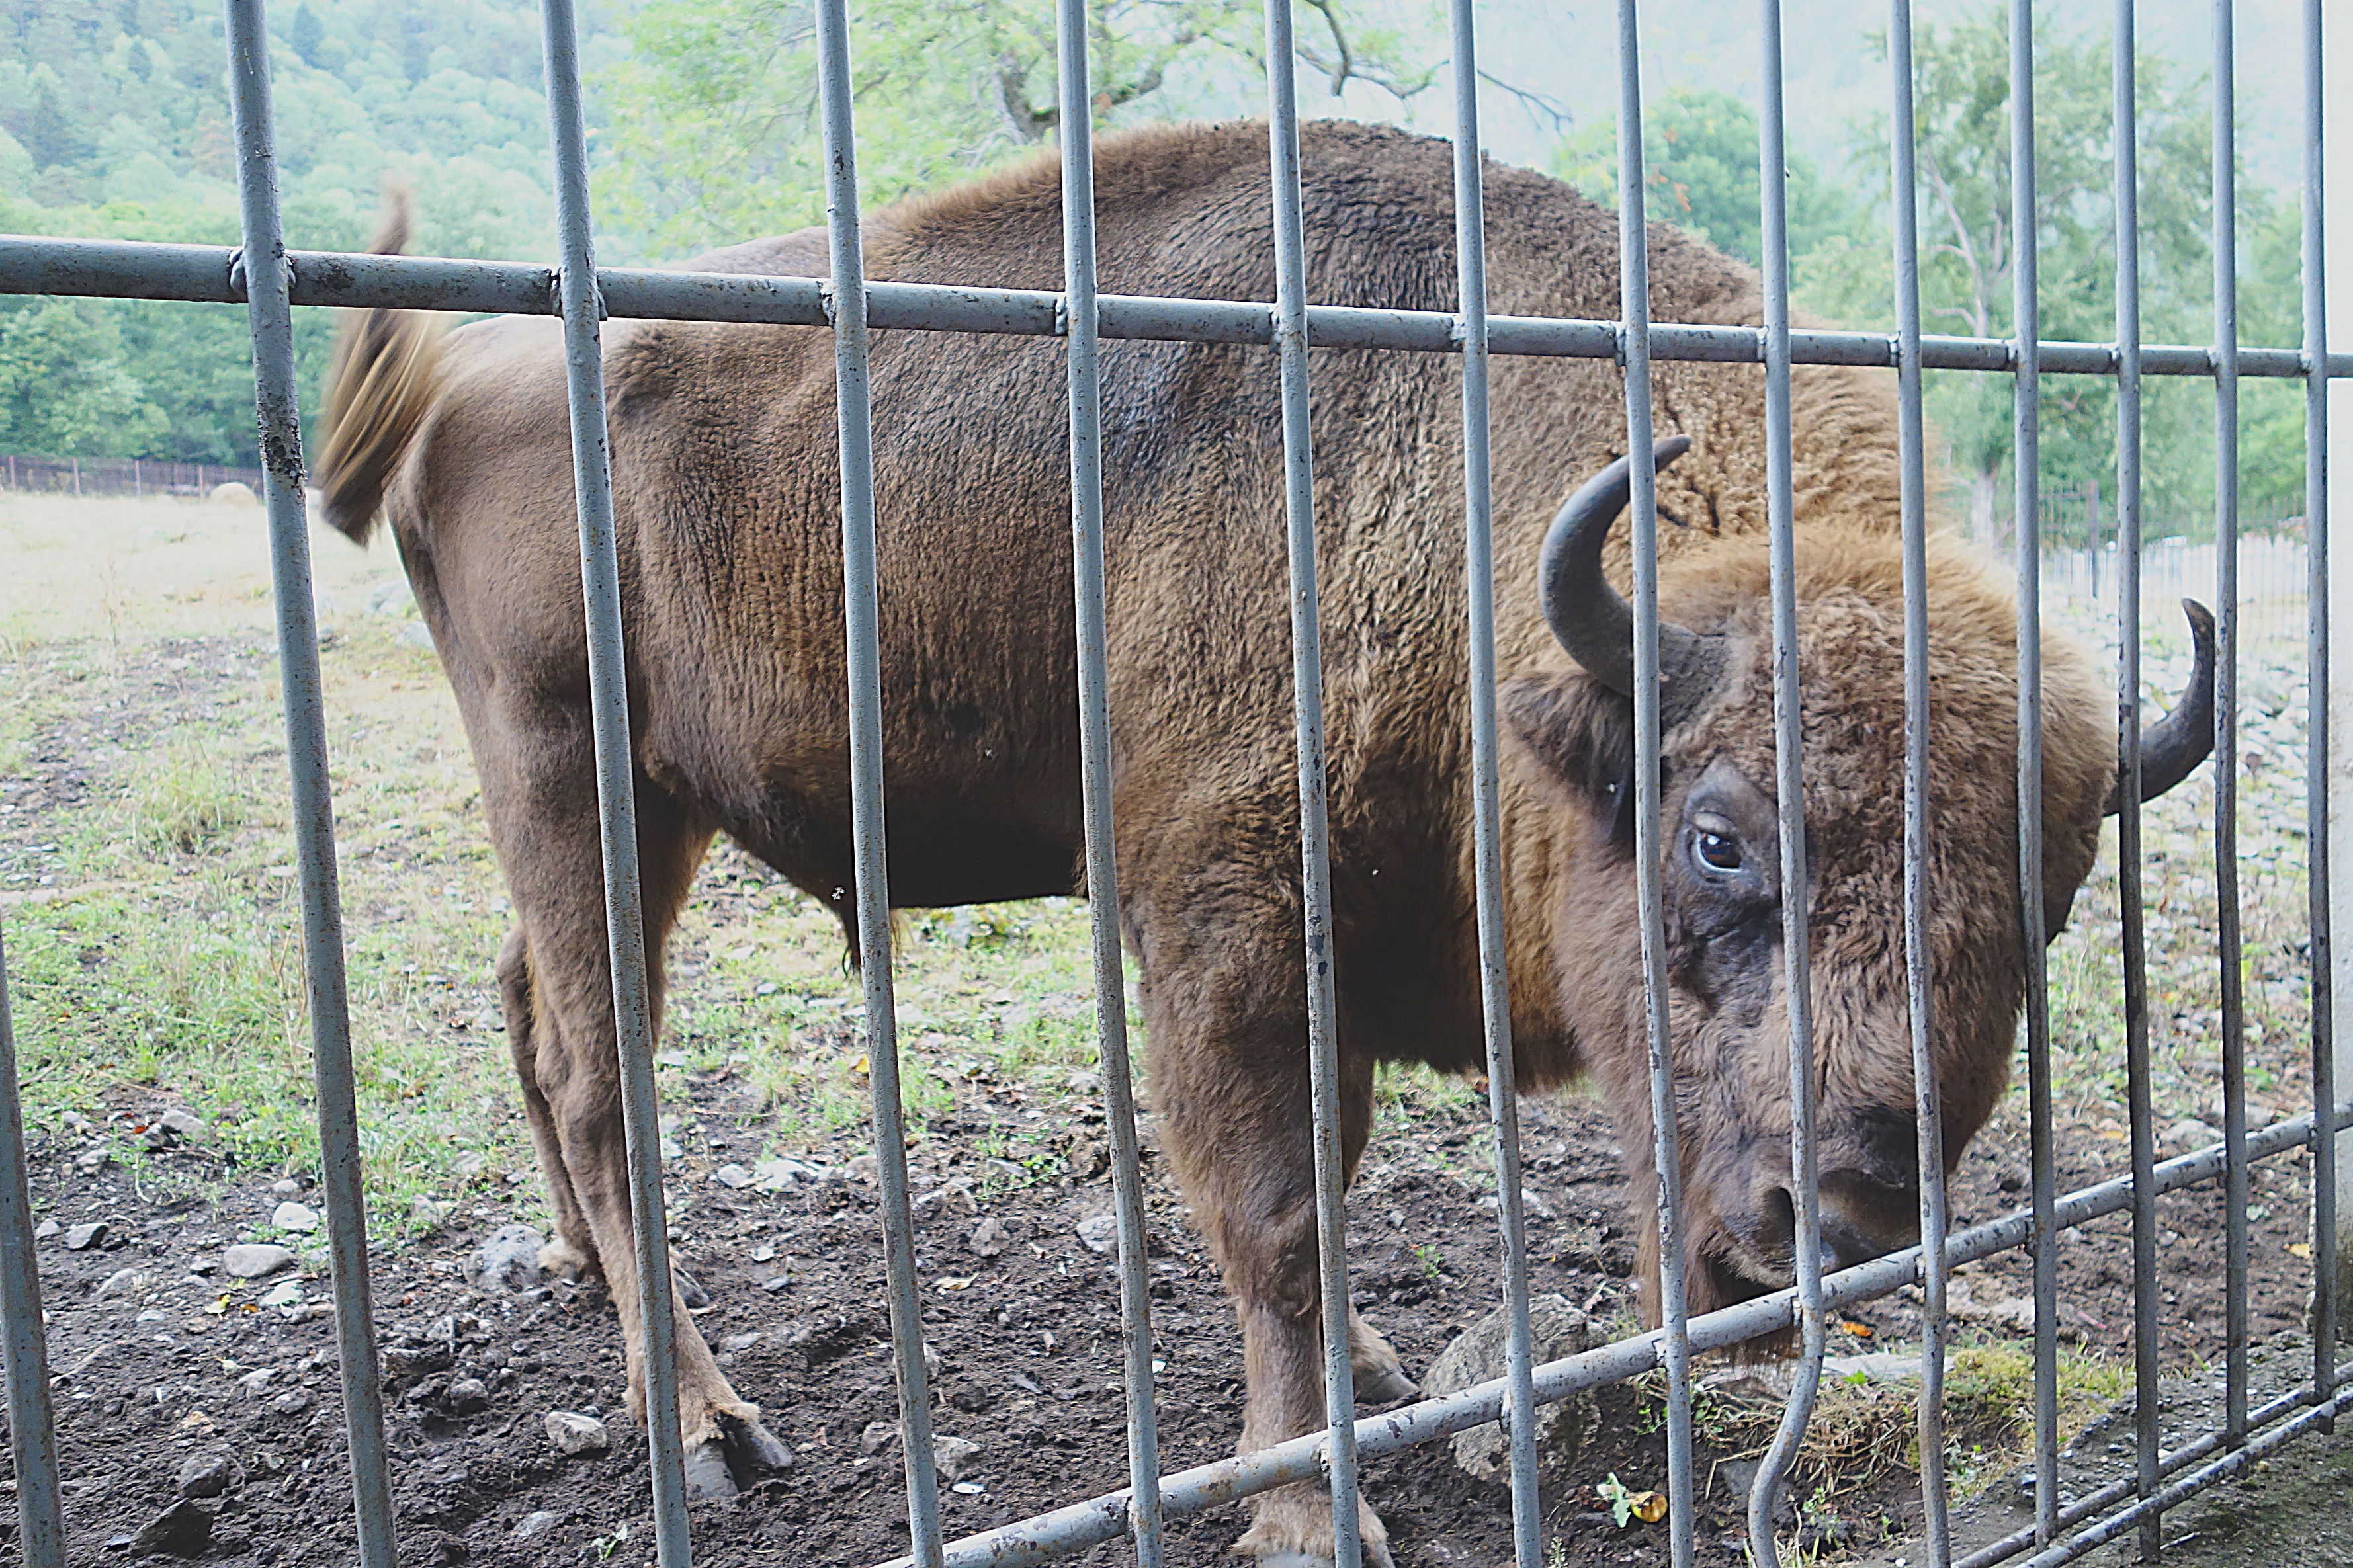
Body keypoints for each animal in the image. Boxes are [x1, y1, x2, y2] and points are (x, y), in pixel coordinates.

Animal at [322, 120, 2211, 1561]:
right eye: (1719, 839)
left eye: (2053, 892)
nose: (1848, 1204)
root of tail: (461, 373)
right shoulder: (1226, 934)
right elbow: (1281, 1212)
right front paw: (1311, 1508)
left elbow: (1321, 1199)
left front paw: (1370, 1377)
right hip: (565, 769)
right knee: (600, 1073)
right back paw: (710, 1427)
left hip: (650, 815)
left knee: (533, 1012)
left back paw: (601, 1295)